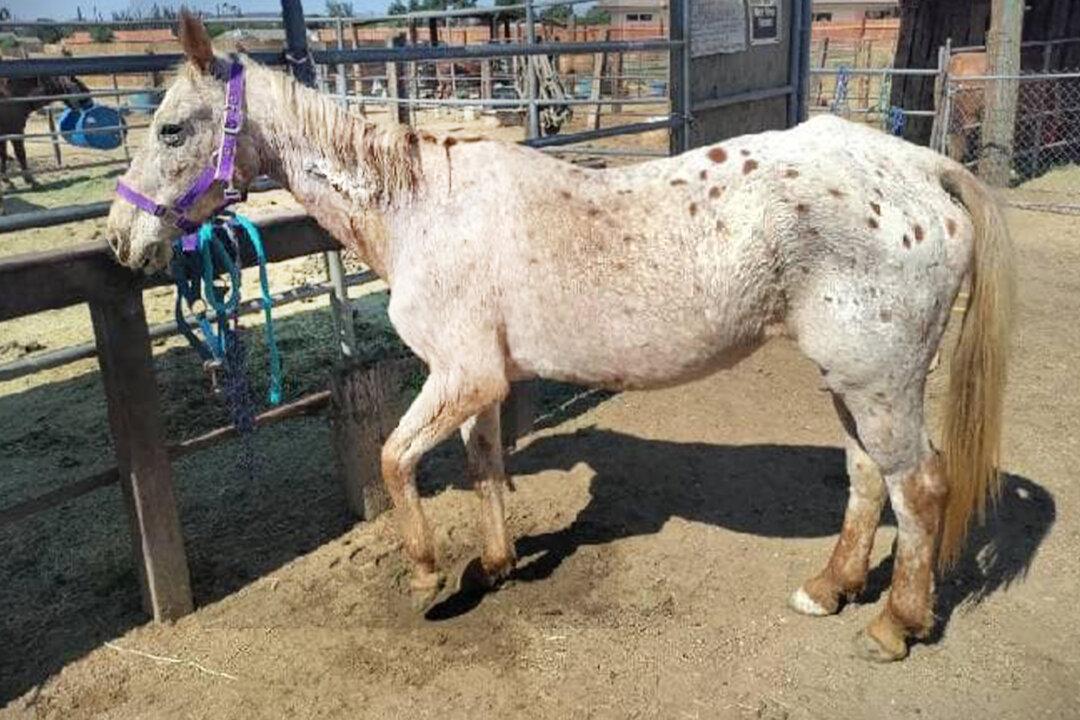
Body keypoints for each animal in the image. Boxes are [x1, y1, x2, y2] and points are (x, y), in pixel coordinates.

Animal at [107, 13, 1013, 663]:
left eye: (172, 129)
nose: (120, 240)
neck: (421, 208)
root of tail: (919, 169)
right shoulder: (480, 383)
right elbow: (482, 464)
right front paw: (496, 564)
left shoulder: (461, 375)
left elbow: (396, 461)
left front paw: (428, 575)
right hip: (849, 381)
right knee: (867, 478)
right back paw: (828, 589)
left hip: (879, 382)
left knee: (919, 487)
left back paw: (893, 624)